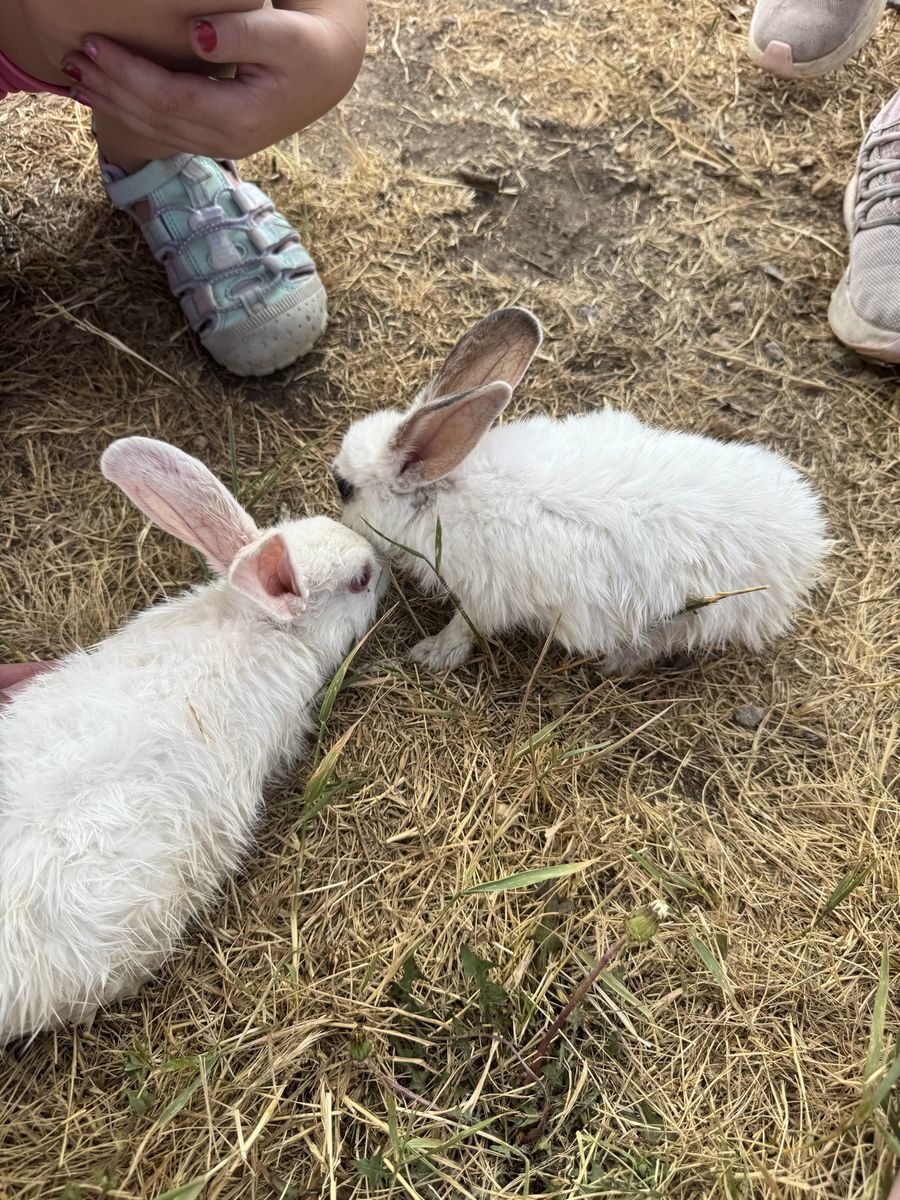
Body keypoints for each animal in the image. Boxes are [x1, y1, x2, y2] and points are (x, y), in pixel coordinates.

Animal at [332, 307, 829, 674]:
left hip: (687, 615)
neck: (446, 490)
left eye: (345, 488)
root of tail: (803, 540)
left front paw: (432, 654)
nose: (336, 503)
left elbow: (466, 628)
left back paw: (615, 664)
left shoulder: (484, 596)